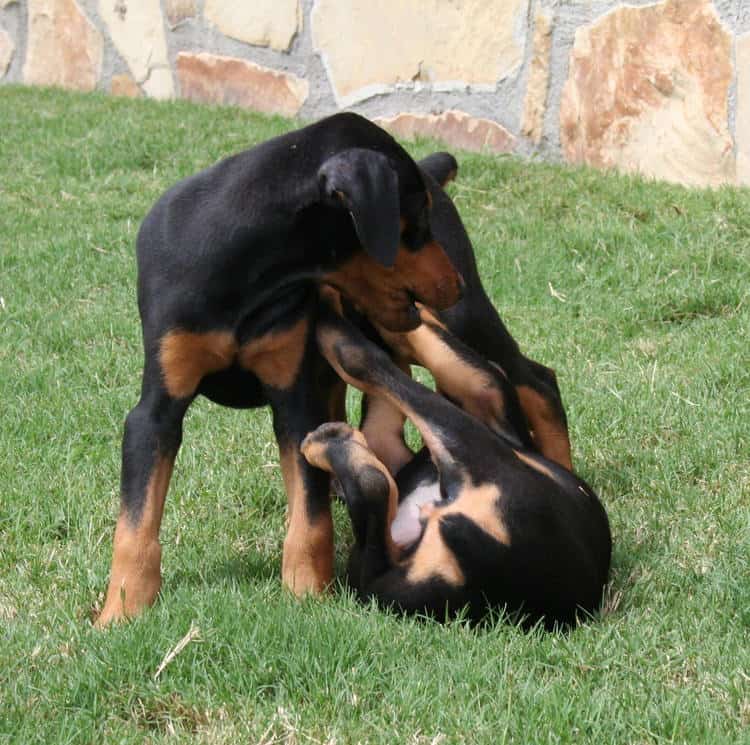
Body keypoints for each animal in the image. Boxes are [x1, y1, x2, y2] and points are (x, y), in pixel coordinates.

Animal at [97, 113, 468, 624]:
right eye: (416, 221)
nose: (458, 284)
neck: (245, 269)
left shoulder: (293, 397)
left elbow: (310, 518)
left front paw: (307, 594)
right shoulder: (155, 411)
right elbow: (135, 524)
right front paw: (121, 611)